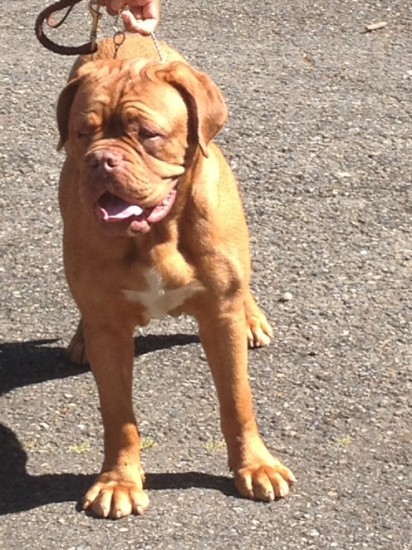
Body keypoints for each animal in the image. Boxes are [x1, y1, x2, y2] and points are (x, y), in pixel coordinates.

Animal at [57, 35, 295, 519]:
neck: (156, 235)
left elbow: (237, 399)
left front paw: (255, 466)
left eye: (147, 135)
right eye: (83, 133)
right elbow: (118, 413)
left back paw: (253, 319)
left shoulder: (219, 315)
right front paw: (118, 481)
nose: (100, 160)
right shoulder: (110, 328)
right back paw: (80, 339)